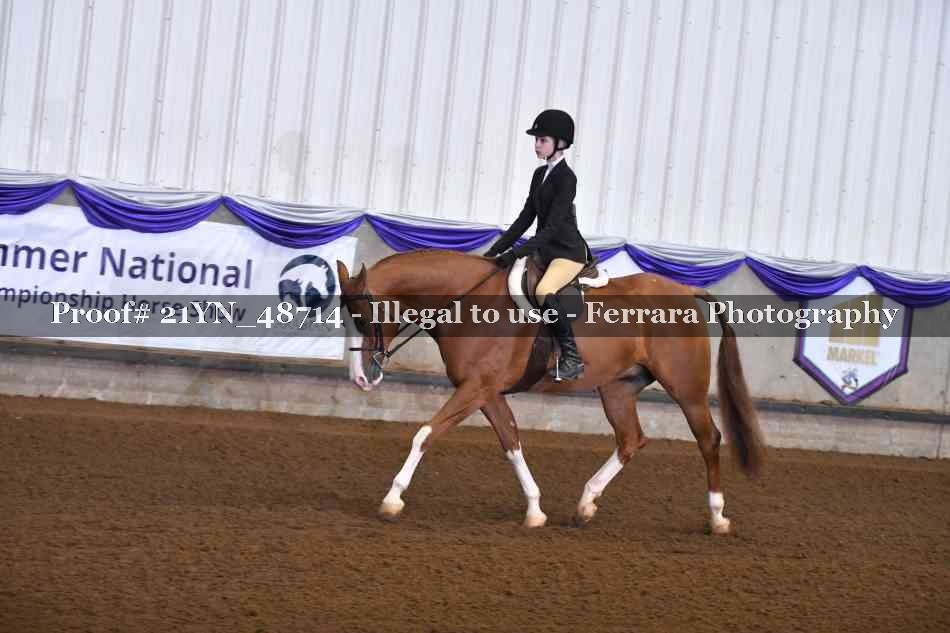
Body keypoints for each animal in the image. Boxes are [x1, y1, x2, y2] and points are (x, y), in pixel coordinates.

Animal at [336, 249, 765, 531]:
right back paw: (586, 503)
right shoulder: (486, 392)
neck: (467, 301)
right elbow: (511, 441)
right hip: (618, 389)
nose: (361, 379)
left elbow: (425, 434)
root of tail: (685, 291)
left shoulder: (475, 388)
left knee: (709, 439)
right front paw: (535, 510)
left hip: (687, 389)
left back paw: (717, 516)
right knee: (631, 439)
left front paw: (392, 499)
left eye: (363, 316)